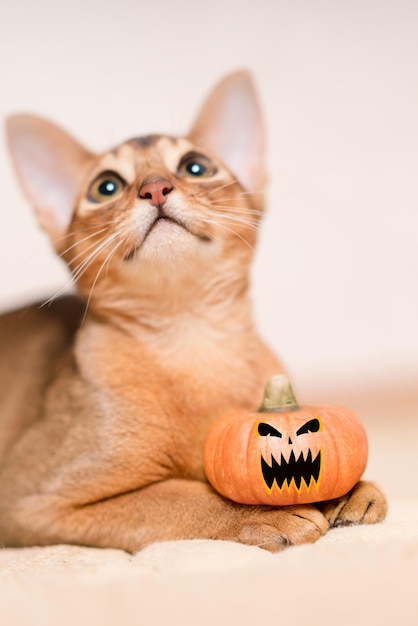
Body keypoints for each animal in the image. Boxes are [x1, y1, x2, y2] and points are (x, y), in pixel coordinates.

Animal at [0, 72, 386, 552]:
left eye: (195, 166)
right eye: (105, 186)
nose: (154, 188)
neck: (192, 338)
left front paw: (353, 489)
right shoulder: (28, 500)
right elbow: (177, 496)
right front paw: (264, 513)